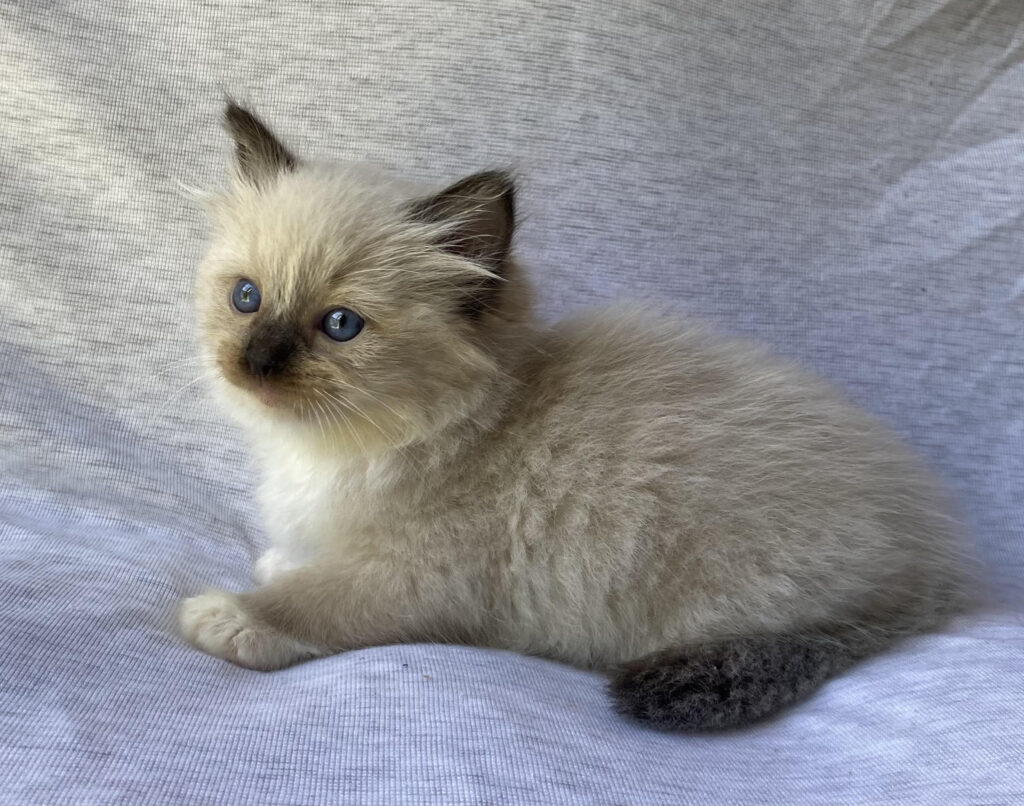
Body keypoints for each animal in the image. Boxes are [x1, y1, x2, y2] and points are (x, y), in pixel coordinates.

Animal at [178, 102, 966, 733]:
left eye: (340, 325)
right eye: (247, 298)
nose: (256, 362)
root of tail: (933, 567)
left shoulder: (417, 578)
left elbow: (317, 599)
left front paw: (238, 613)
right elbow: (301, 561)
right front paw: (278, 559)